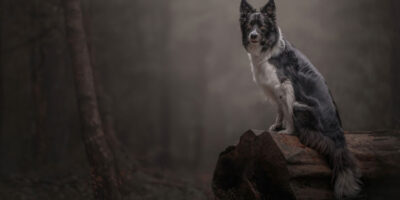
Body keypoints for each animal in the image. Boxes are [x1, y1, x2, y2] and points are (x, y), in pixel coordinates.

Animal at [239, 0, 364, 198]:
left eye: (263, 26)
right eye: (250, 25)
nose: (253, 36)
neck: (268, 48)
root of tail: (338, 137)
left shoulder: (285, 85)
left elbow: (286, 110)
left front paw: (287, 131)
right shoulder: (276, 89)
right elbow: (280, 109)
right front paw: (276, 126)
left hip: (300, 107)